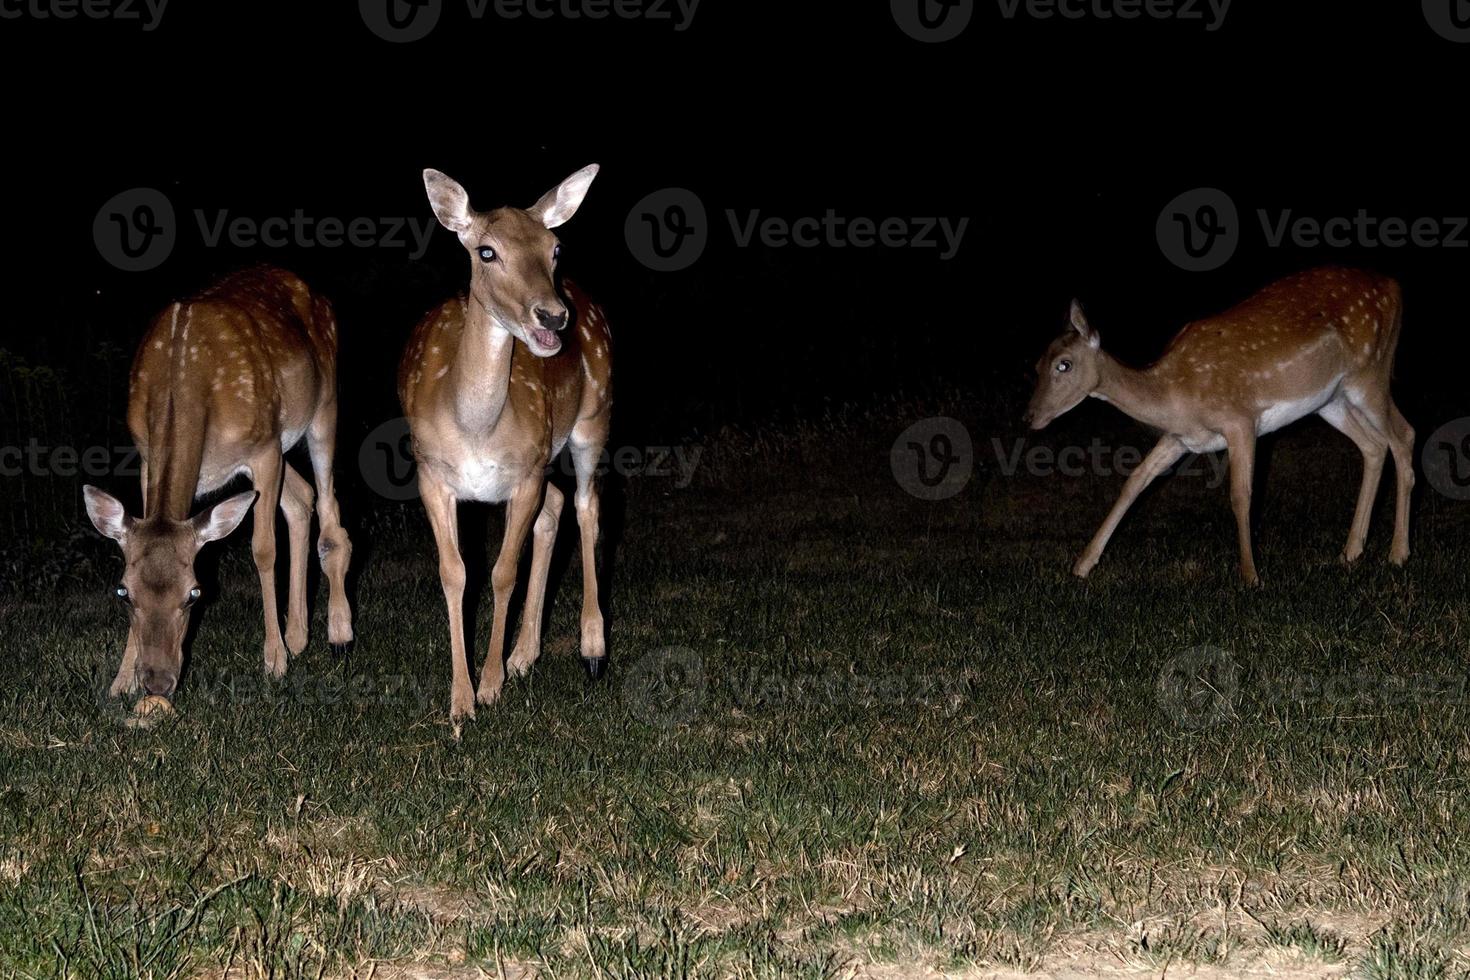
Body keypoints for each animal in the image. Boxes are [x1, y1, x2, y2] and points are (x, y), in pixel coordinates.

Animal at [82, 264, 352, 702]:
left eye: (195, 594)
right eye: (123, 592)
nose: (157, 681)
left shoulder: (264, 448)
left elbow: (263, 549)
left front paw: (273, 660)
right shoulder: (146, 458)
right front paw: (121, 680)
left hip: (324, 406)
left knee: (330, 512)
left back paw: (337, 632)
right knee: (301, 498)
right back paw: (298, 635)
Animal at [399, 164, 611, 725]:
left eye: (555, 247)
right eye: (487, 251)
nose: (553, 317)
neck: (477, 430)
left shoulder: (526, 473)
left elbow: (501, 573)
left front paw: (490, 685)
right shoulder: (431, 474)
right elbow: (456, 573)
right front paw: (460, 700)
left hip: (593, 418)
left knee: (586, 504)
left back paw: (592, 648)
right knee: (557, 505)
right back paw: (525, 653)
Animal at [1023, 264, 1411, 587]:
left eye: (1064, 364)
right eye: (1037, 364)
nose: (1030, 417)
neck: (1174, 393)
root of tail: (1393, 287)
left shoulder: (1240, 420)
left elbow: (1241, 495)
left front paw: (1250, 576)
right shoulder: (1181, 437)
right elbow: (1134, 482)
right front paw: (1083, 565)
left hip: (1370, 374)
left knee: (1403, 436)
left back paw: (1397, 554)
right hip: (1331, 400)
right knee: (1374, 445)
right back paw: (1351, 552)